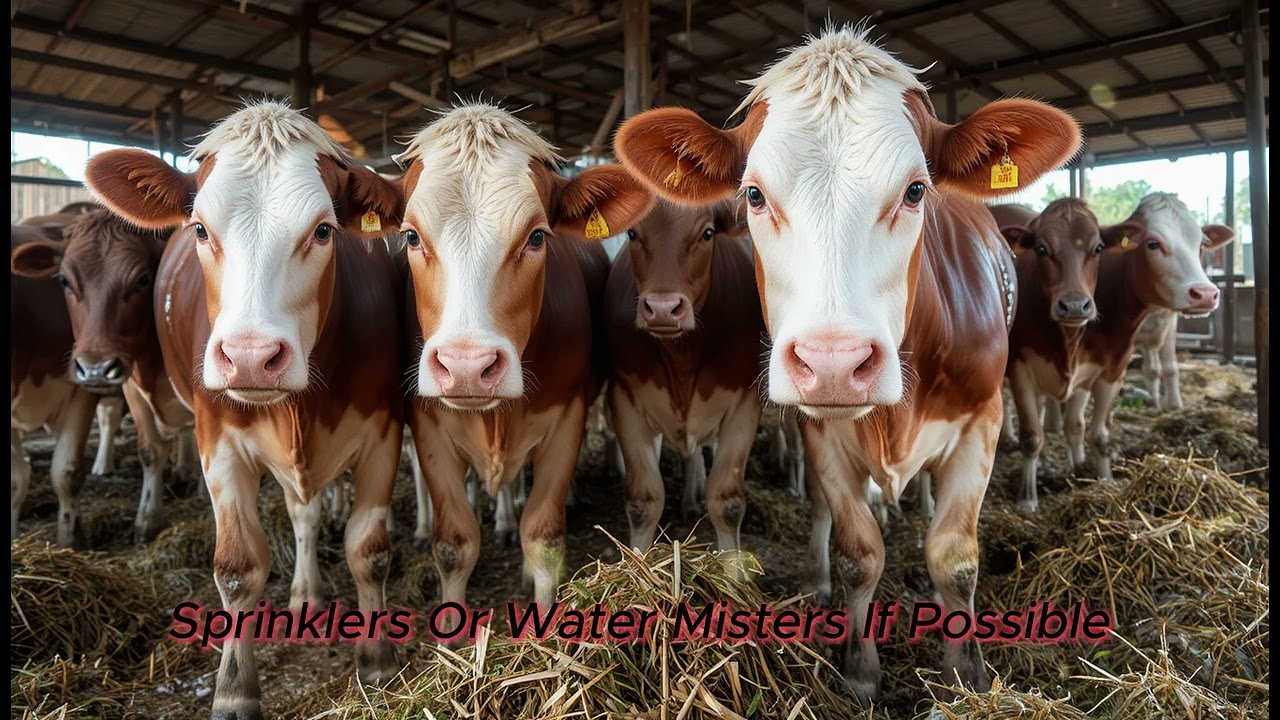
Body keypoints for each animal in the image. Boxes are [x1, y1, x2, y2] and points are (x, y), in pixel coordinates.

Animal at [11, 210, 203, 542]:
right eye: (64, 280)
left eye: (143, 280)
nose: (96, 369)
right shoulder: (131, 388)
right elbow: (150, 451)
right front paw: (147, 521)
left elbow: (66, 470)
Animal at [84, 101, 407, 719]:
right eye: (200, 229)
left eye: (324, 230)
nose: (251, 358)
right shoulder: (218, 442)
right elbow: (237, 570)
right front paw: (234, 691)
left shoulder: (383, 432)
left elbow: (369, 550)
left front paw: (378, 662)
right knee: (300, 513)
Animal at [394, 102, 651, 613]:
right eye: (412, 237)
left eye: (536, 237)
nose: (467, 367)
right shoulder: (429, 427)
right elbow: (453, 546)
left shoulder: (567, 418)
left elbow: (545, 538)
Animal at [603, 197, 763, 556]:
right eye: (632, 233)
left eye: (707, 233)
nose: (663, 309)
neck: (682, 361)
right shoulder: (625, 398)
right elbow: (644, 501)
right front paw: (639, 564)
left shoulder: (744, 404)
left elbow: (727, 503)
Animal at [1063, 193, 1232, 480]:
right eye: (1152, 244)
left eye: (1201, 245)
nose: (1206, 294)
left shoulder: (1165, 325)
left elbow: (1167, 368)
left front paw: (1172, 404)